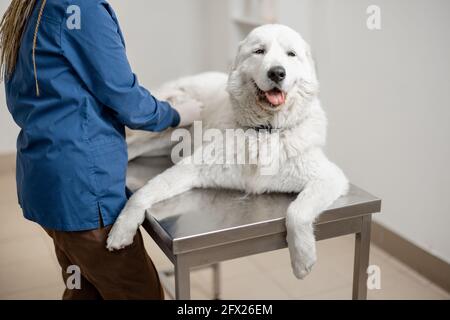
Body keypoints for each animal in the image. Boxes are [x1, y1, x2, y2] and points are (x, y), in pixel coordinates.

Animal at [105, 23, 348, 278]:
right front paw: (122, 229)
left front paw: (302, 258)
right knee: (133, 143)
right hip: (161, 126)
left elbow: (297, 211)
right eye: (259, 51)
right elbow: (142, 194)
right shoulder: (192, 167)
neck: (264, 132)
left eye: (291, 54)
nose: (277, 73)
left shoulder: (329, 178)